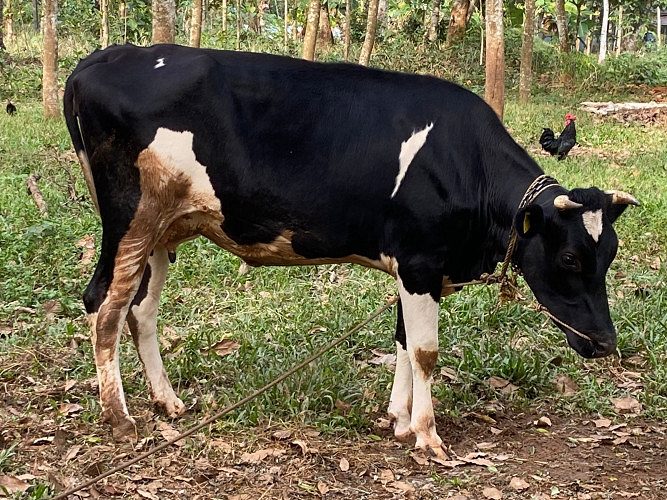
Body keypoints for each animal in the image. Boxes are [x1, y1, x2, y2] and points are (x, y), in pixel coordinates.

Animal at [64, 44, 638, 454]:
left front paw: (400, 421)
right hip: (130, 218)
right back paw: (119, 418)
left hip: (163, 229)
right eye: (570, 258)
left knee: (142, 311)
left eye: (609, 255)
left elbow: (404, 342)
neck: (466, 165)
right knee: (104, 304)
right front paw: (428, 435)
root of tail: (104, 57)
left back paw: (166, 401)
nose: (606, 344)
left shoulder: (413, 266)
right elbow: (426, 351)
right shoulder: (421, 262)